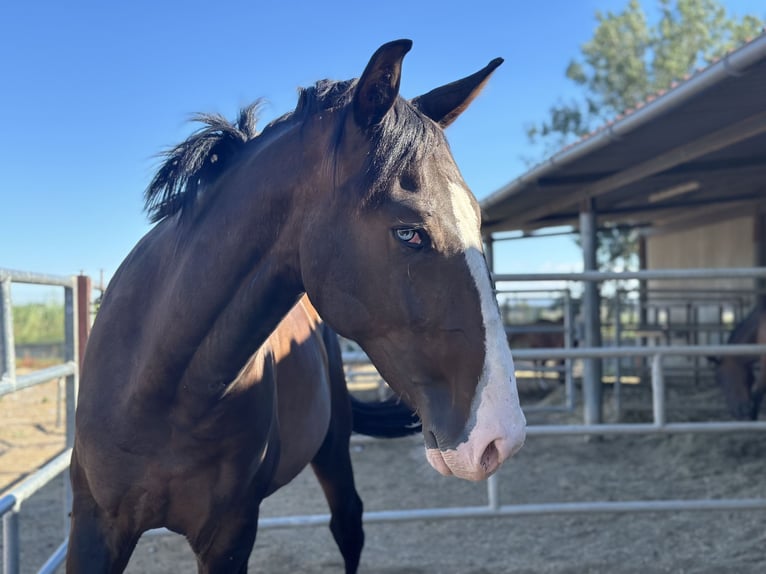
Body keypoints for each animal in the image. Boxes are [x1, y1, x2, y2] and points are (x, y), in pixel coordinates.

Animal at [66, 40, 527, 573]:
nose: (499, 437)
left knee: (348, 525)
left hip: (334, 449)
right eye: (409, 232)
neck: (164, 386)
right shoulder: (96, 525)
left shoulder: (228, 536)